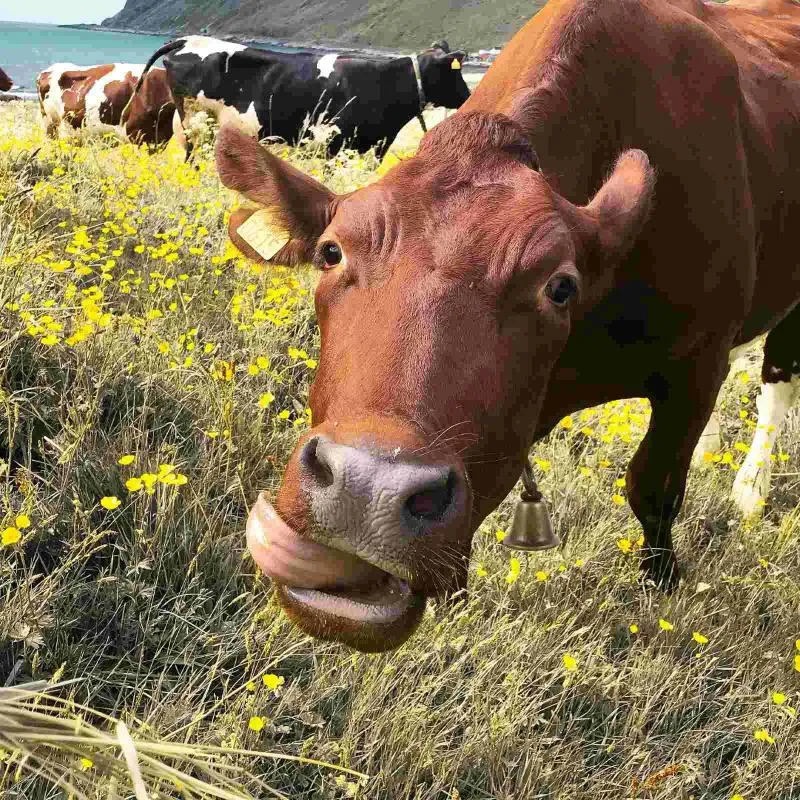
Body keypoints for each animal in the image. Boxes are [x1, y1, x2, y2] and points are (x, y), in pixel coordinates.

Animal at [131, 35, 468, 159]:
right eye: (456, 73)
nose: (468, 96)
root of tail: (188, 39)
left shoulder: (373, 149)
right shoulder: (335, 144)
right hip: (196, 123)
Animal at [216, 0, 800, 652]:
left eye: (560, 287)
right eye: (330, 252)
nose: (367, 490)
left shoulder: (698, 363)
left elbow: (654, 487)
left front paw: (663, 583)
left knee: (779, 376)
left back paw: (751, 489)